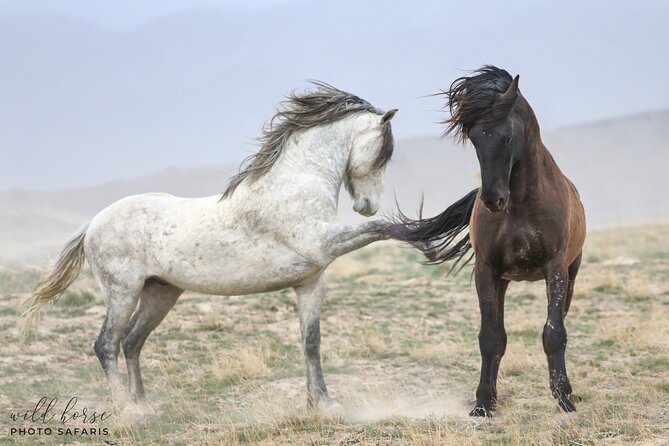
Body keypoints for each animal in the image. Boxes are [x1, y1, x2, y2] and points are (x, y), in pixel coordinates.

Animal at [22, 82, 398, 415]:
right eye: (383, 154)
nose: (369, 205)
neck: (295, 182)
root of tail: (94, 223)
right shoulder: (323, 243)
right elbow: (381, 229)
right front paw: (414, 230)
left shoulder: (310, 282)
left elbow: (311, 343)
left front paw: (322, 405)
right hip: (122, 293)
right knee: (106, 345)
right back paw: (128, 411)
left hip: (160, 294)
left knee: (131, 342)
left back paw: (145, 405)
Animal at [383, 66, 586, 417]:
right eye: (475, 138)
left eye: (507, 136)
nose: (492, 198)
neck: (522, 204)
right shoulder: (486, 271)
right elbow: (491, 338)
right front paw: (483, 403)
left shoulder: (556, 267)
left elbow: (554, 333)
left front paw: (564, 399)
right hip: (503, 280)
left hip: (570, 275)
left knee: (559, 321)